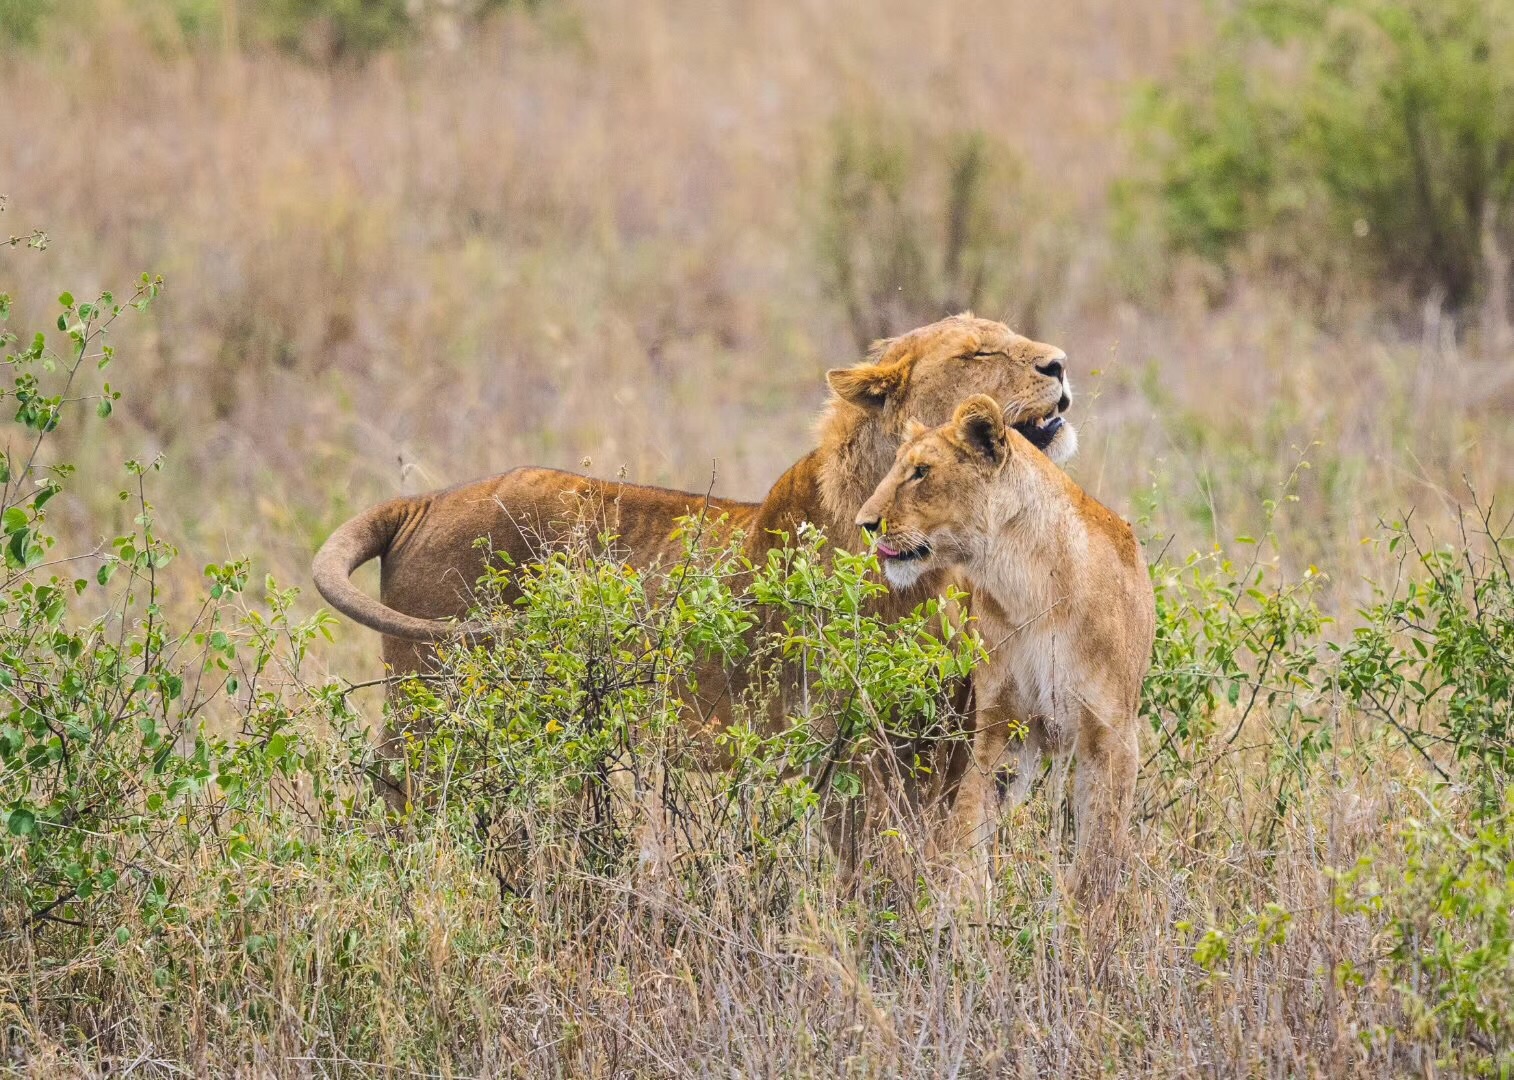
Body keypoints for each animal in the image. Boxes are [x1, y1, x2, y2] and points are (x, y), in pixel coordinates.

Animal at [859, 390, 1150, 890]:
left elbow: (1098, 852)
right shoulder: (1002, 721)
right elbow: (969, 817)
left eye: (922, 472)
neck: (1023, 582)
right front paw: (964, 898)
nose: (866, 523)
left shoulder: (1110, 732)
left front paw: (1084, 910)